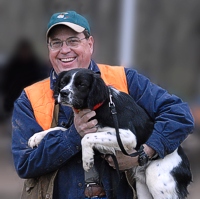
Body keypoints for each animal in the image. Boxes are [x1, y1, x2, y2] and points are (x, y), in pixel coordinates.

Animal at [28, 69, 192, 199]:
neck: (101, 105)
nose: (63, 93)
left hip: (156, 179)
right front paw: (35, 137)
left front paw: (87, 160)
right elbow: (59, 130)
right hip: (143, 187)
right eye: (63, 82)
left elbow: (87, 137)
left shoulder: (128, 136)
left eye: (81, 84)